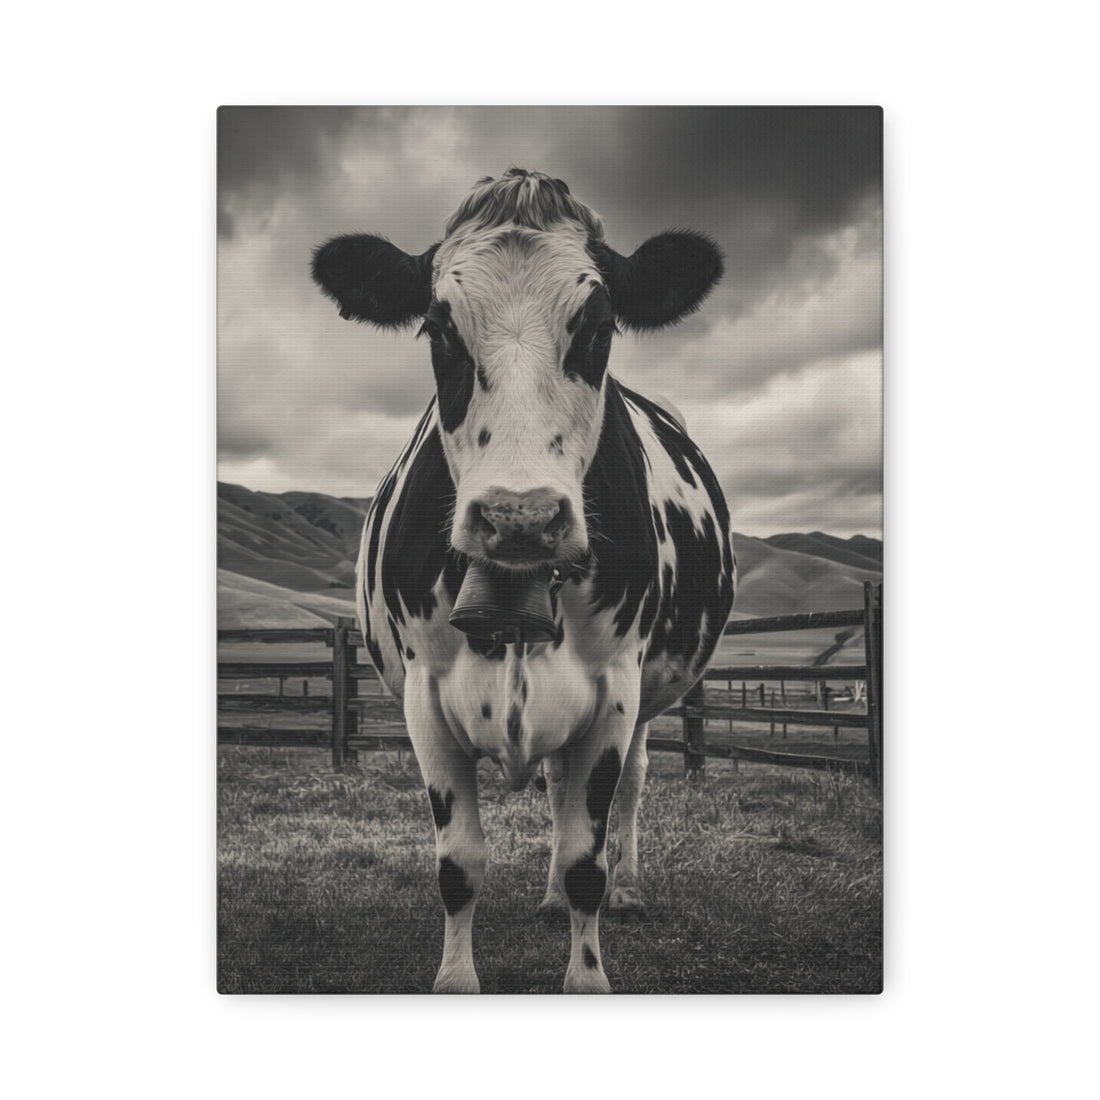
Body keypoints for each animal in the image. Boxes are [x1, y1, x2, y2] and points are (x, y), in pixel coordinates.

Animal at [312, 169, 736, 993]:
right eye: (437, 330)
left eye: (599, 328)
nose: (520, 517)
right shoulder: (424, 697)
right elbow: (459, 865)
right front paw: (456, 979)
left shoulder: (612, 693)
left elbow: (584, 862)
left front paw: (588, 974)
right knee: (555, 791)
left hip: (643, 704)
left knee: (626, 792)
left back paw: (628, 890)